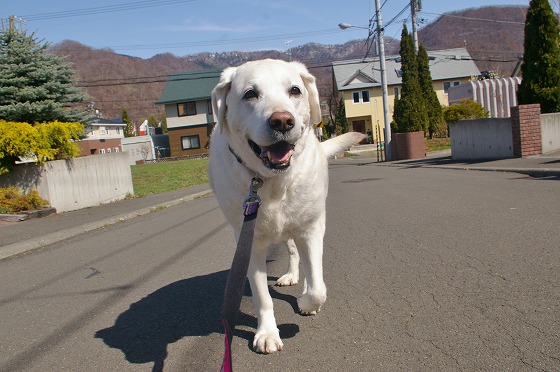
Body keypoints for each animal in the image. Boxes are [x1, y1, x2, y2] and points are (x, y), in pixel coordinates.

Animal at [209, 58, 364, 354]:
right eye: (250, 94)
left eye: (294, 90)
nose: (282, 120)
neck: (270, 180)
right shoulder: (249, 240)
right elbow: (262, 296)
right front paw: (267, 333)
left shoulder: (311, 228)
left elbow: (318, 288)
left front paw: (306, 302)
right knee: (292, 253)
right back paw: (291, 276)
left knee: (304, 262)